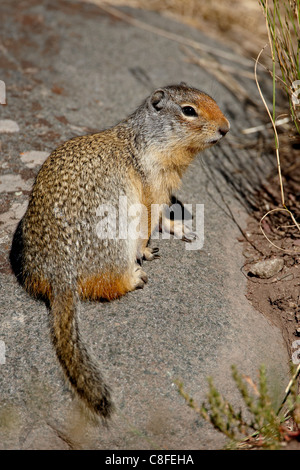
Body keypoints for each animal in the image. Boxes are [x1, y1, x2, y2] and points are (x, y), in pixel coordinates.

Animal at [9, 83, 230, 418]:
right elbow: (150, 219)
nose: (226, 128)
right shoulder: (153, 186)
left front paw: (182, 228)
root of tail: (59, 276)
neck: (144, 141)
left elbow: (162, 217)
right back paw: (135, 277)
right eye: (189, 110)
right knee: (108, 284)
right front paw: (148, 250)